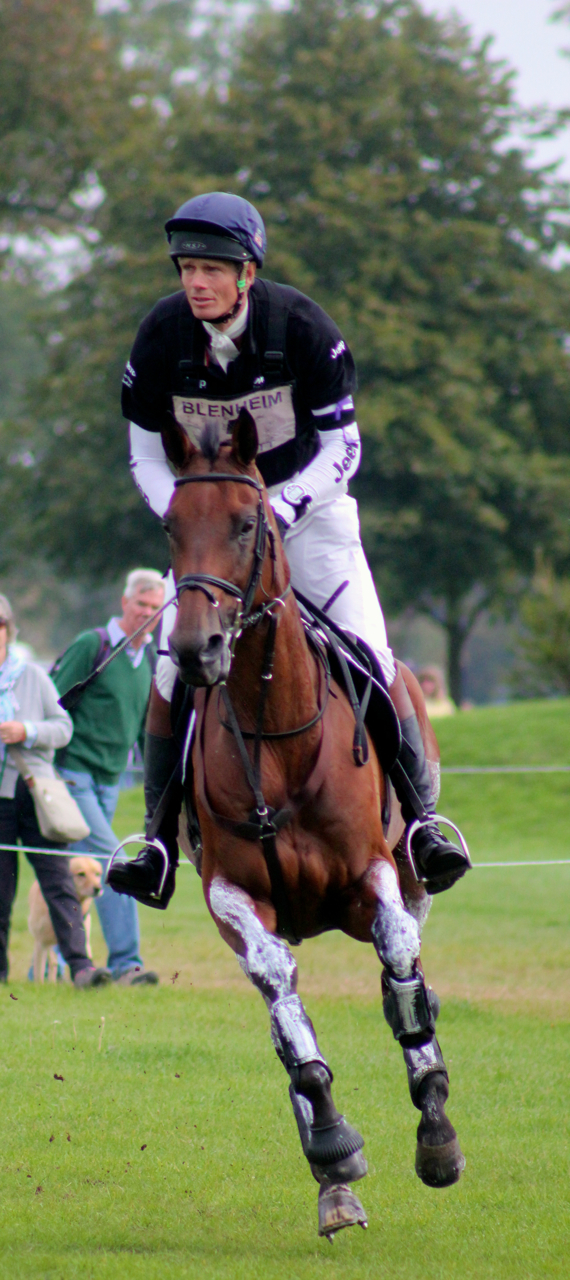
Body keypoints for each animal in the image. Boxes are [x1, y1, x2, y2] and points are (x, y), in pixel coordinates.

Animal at [28, 855, 102, 983]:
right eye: (81, 874)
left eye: (97, 874)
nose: (98, 888)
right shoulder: (41, 942)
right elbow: (39, 971)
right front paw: (39, 986)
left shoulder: (83, 940)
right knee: (51, 963)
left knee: (54, 963)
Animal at [157, 404, 463, 1233]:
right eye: (171, 526)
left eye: (247, 523)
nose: (196, 648)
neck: (278, 738)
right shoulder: (230, 895)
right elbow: (285, 1008)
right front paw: (332, 1145)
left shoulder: (373, 874)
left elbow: (401, 972)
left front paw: (437, 1134)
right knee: (282, 1001)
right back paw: (332, 1185)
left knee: (404, 960)